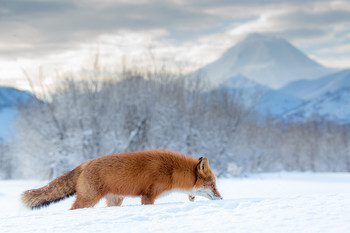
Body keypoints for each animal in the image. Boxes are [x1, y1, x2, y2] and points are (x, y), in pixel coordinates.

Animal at [22, 150, 221, 210]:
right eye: (212, 185)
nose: (221, 198)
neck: (172, 172)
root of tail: (85, 164)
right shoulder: (148, 196)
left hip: (115, 201)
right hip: (88, 200)